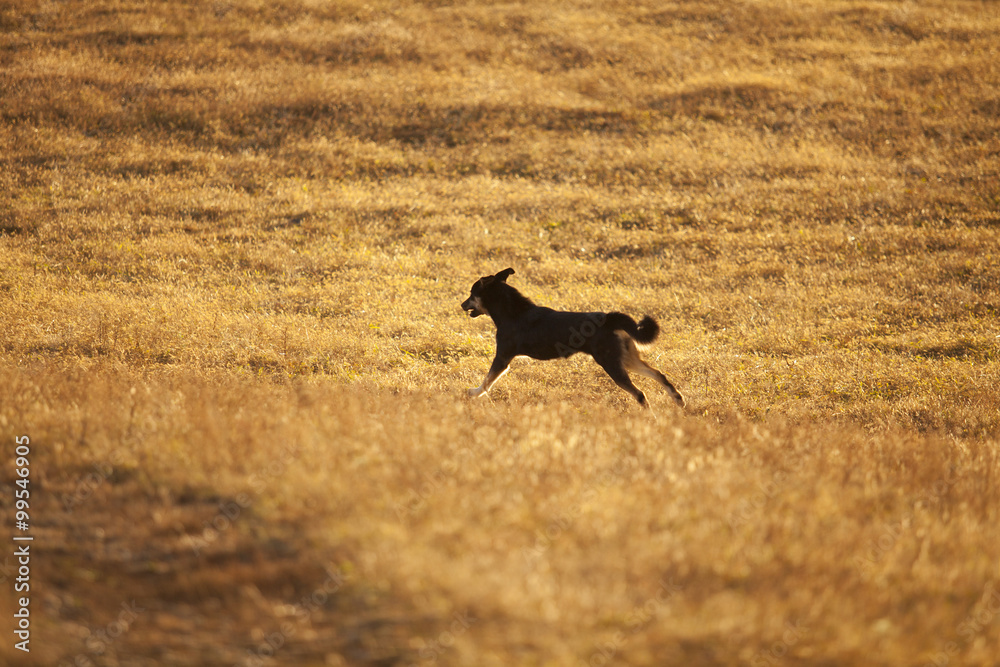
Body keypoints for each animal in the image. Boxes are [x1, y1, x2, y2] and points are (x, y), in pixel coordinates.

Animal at [462, 268, 688, 408]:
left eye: (471, 293)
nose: (461, 304)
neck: (512, 312)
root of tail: (609, 318)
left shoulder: (502, 358)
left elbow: (487, 381)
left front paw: (474, 393)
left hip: (612, 364)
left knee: (640, 394)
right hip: (626, 359)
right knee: (659, 374)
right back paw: (678, 400)